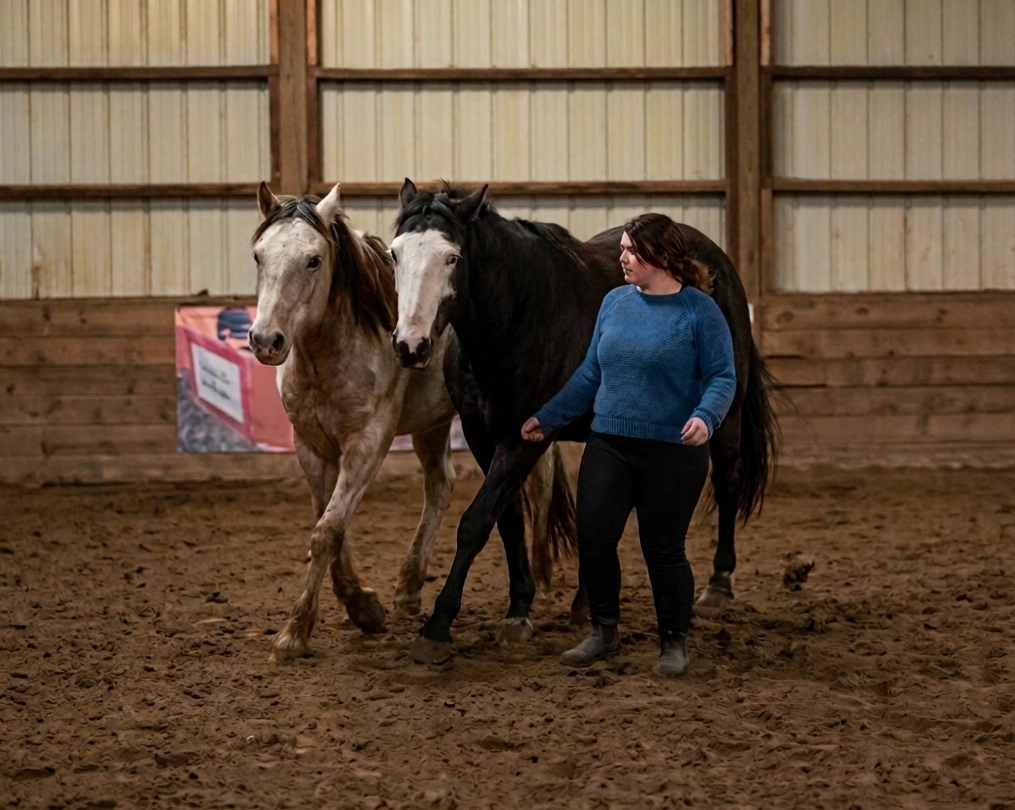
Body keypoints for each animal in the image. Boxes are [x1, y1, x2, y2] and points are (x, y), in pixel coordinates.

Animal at [248, 182, 574, 662]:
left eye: (313, 260)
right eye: (259, 255)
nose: (266, 340)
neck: (332, 352)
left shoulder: (368, 445)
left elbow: (328, 531)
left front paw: (297, 631)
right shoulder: (310, 447)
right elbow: (328, 526)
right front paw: (363, 606)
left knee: (539, 481)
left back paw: (543, 578)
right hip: (432, 425)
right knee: (440, 484)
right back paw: (408, 586)